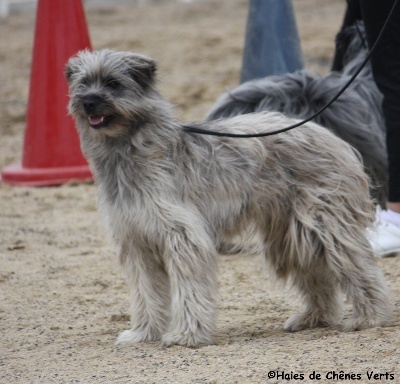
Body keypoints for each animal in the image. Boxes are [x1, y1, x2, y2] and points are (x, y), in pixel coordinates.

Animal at [65, 48, 390, 348]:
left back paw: (369, 316)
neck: (131, 145)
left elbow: (189, 289)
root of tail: (324, 132)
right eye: (83, 83)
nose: (88, 102)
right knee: (315, 273)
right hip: (290, 234)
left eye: (113, 83)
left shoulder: (182, 236)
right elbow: (145, 293)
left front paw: (187, 335)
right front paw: (143, 333)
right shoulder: (136, 241)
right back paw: (315, 317)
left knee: (358, 266)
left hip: (325, 224)